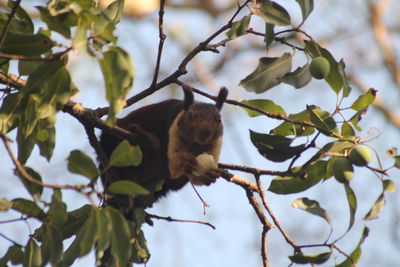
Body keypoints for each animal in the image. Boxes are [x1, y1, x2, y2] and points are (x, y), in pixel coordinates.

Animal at [99, 87, 227, 208]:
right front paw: (184, 162)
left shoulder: (214, 145)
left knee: (174, 184)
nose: (205, 133)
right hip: (111, 144)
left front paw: (209, 175)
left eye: (219, 119)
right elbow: (169, 168)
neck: (194, 143)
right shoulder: (170, 127)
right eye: (191, 116)